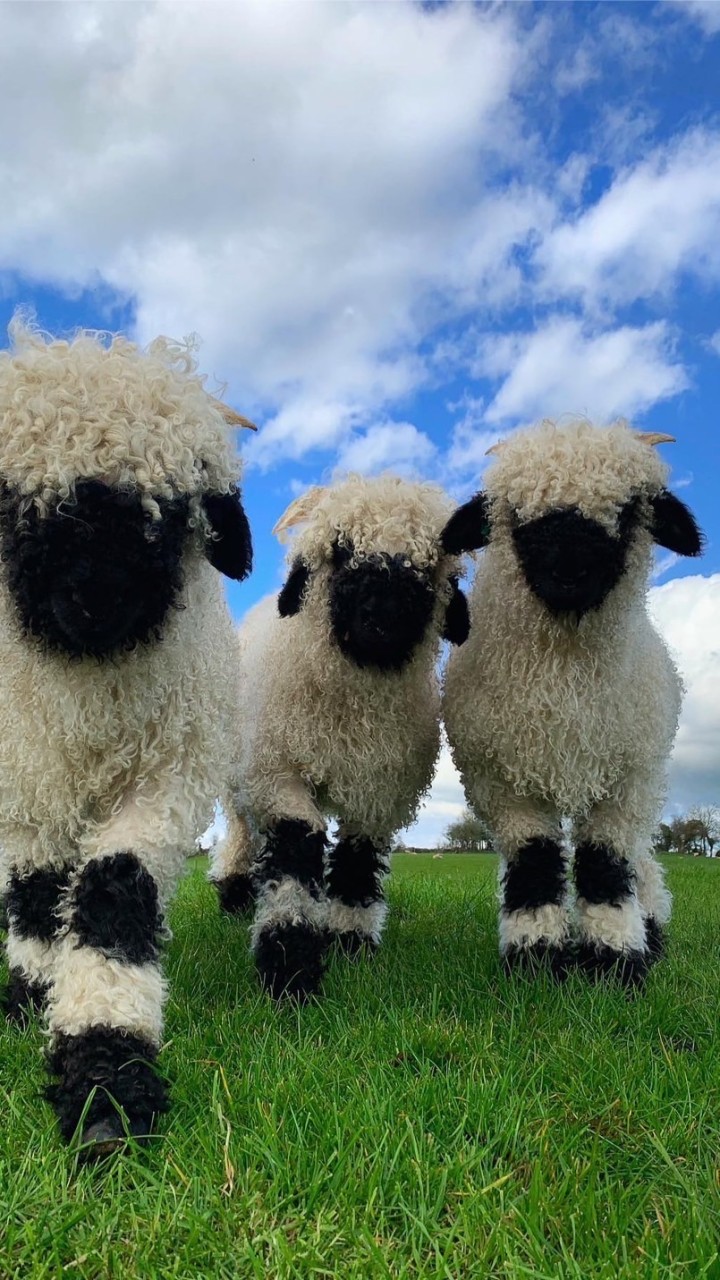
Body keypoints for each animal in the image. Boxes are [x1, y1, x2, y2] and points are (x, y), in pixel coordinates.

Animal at [0, 317, 253, 1152]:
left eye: (172, 510)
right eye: (16, 502)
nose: (95, 597)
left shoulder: (167, 778)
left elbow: (115, 890)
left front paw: (105, 1085)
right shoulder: (24, 788)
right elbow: (34, 898)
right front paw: (34, 999)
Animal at [211, 473, 471, 998]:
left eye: (430, 563)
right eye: (340, 549)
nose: (382, 618)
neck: (351, 713)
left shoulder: (380, 791)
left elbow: (356, 861)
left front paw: (350, 942)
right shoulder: (279, 773)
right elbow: (296, 847)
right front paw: (289, 964)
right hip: (242, 772)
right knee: (243, 831)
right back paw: (234, 894)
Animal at [440, 419, 696, 988]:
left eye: (629, 509)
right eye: (515, 513)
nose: (570, 570)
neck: (563, 679)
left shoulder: (627, 779)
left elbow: (606, 863)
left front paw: (616, 962)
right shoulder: (500, 782)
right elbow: (534, 864)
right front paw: (535, 958)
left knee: (643, 860)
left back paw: (652, 931)